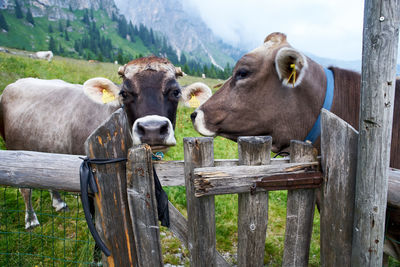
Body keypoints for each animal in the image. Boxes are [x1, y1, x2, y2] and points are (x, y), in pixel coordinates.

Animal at [0, 56, 211, 228]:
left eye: (175, 92)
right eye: (124, 93)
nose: (152, 129)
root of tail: (14, 84)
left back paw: (59, 202)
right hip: (16, 150)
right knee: (25, 189)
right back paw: (31, 220)